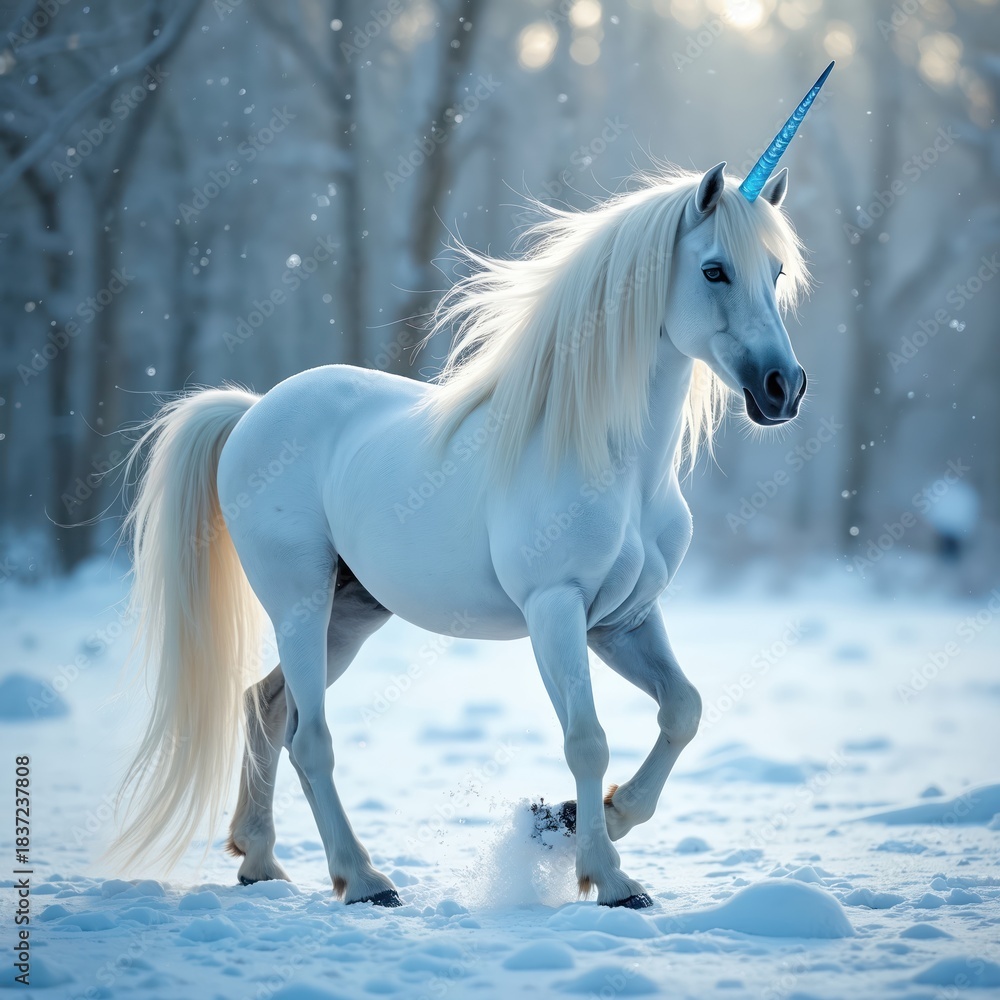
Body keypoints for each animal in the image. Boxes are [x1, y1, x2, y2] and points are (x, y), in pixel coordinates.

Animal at [111, 65, 832, 910]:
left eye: (776, 273)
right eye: (715, 269)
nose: (783, 388)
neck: (612, 462)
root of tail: (254, 411)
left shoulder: (622, 620)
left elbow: (682, 711)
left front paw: (583, 820)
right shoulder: (556, 610)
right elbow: (586, 738)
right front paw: (609, 876)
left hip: (351, 612)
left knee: (266, 707)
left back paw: (260, 862)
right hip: (299, 599)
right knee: (309, 737)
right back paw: (363, 880)